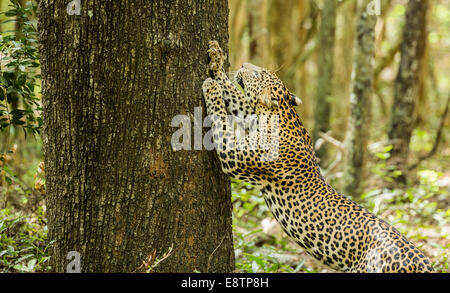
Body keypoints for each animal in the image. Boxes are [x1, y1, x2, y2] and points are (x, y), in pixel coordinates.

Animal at [202, 40, 434, 272]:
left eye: (258, 73)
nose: (243, 64)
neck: (283, 114)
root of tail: (422, 263)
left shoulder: (233, 155)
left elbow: (221, 119)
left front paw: (211, 88)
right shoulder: (250, 116)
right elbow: (235, 97)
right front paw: (216, 58)